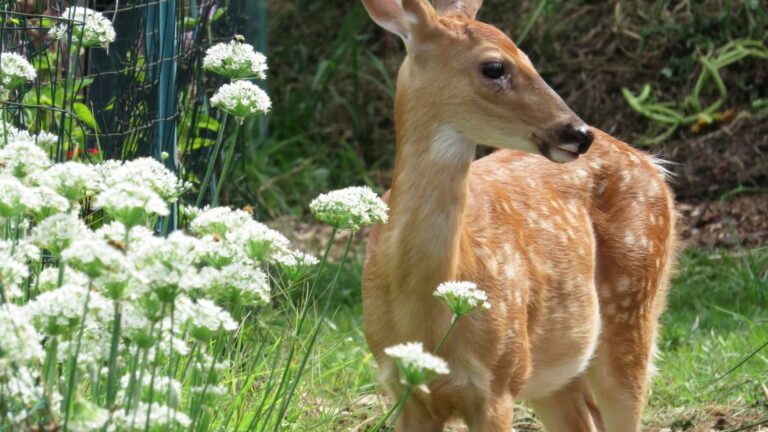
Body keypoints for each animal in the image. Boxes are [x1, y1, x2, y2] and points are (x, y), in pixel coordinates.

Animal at [359, 0, 678, 431]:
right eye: (494, 67)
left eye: (527, 57)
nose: (579, 133)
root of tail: (652, 164)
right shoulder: (403, 388)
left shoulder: (499, 379)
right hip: (554, 371)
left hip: (631, 311)